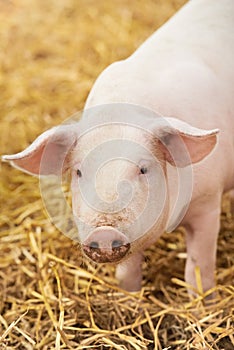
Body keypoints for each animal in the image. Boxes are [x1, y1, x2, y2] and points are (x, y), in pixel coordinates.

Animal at [2, 0, 234, 296]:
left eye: (143, 169)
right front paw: (130, 296)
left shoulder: (208, 202)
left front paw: (202, 302)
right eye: (78, 172)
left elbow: (198, 268)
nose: (104, 232)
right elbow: (128, 273)